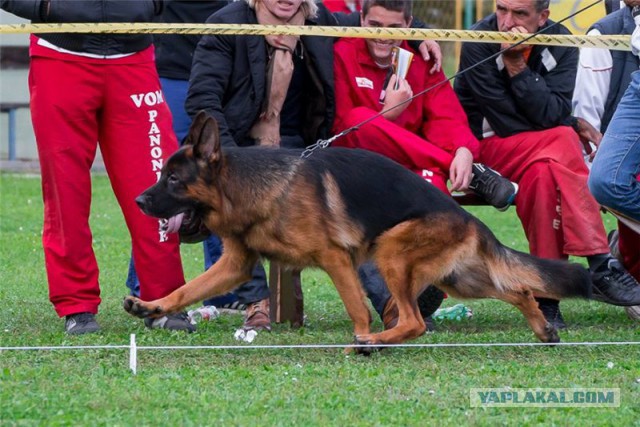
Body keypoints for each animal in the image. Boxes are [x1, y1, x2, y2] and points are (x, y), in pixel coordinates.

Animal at [122, 112, 592, 350]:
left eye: (174, 180)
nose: (139, 202)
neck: (248, 187)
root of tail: (469, 217)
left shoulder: (335, 259)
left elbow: (357, 310)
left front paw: (363, 335)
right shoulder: (235, 265)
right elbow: (186, 290)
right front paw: (151, 306)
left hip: (391, 252)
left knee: (415, 322)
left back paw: (373, 343)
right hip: (461, 279)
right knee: (520, 290)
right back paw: (543, 330)